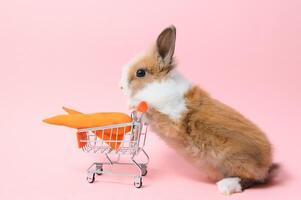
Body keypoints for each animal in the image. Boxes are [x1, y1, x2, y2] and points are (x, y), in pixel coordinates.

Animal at [118, 25, 276, 194]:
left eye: (140, 72)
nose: (121, 87)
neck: (159, 85)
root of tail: (267, 164)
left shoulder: (174, 121)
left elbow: (155, 113)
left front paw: (132, 103)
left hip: (236, 160)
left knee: (254, 179)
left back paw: (227, 185)